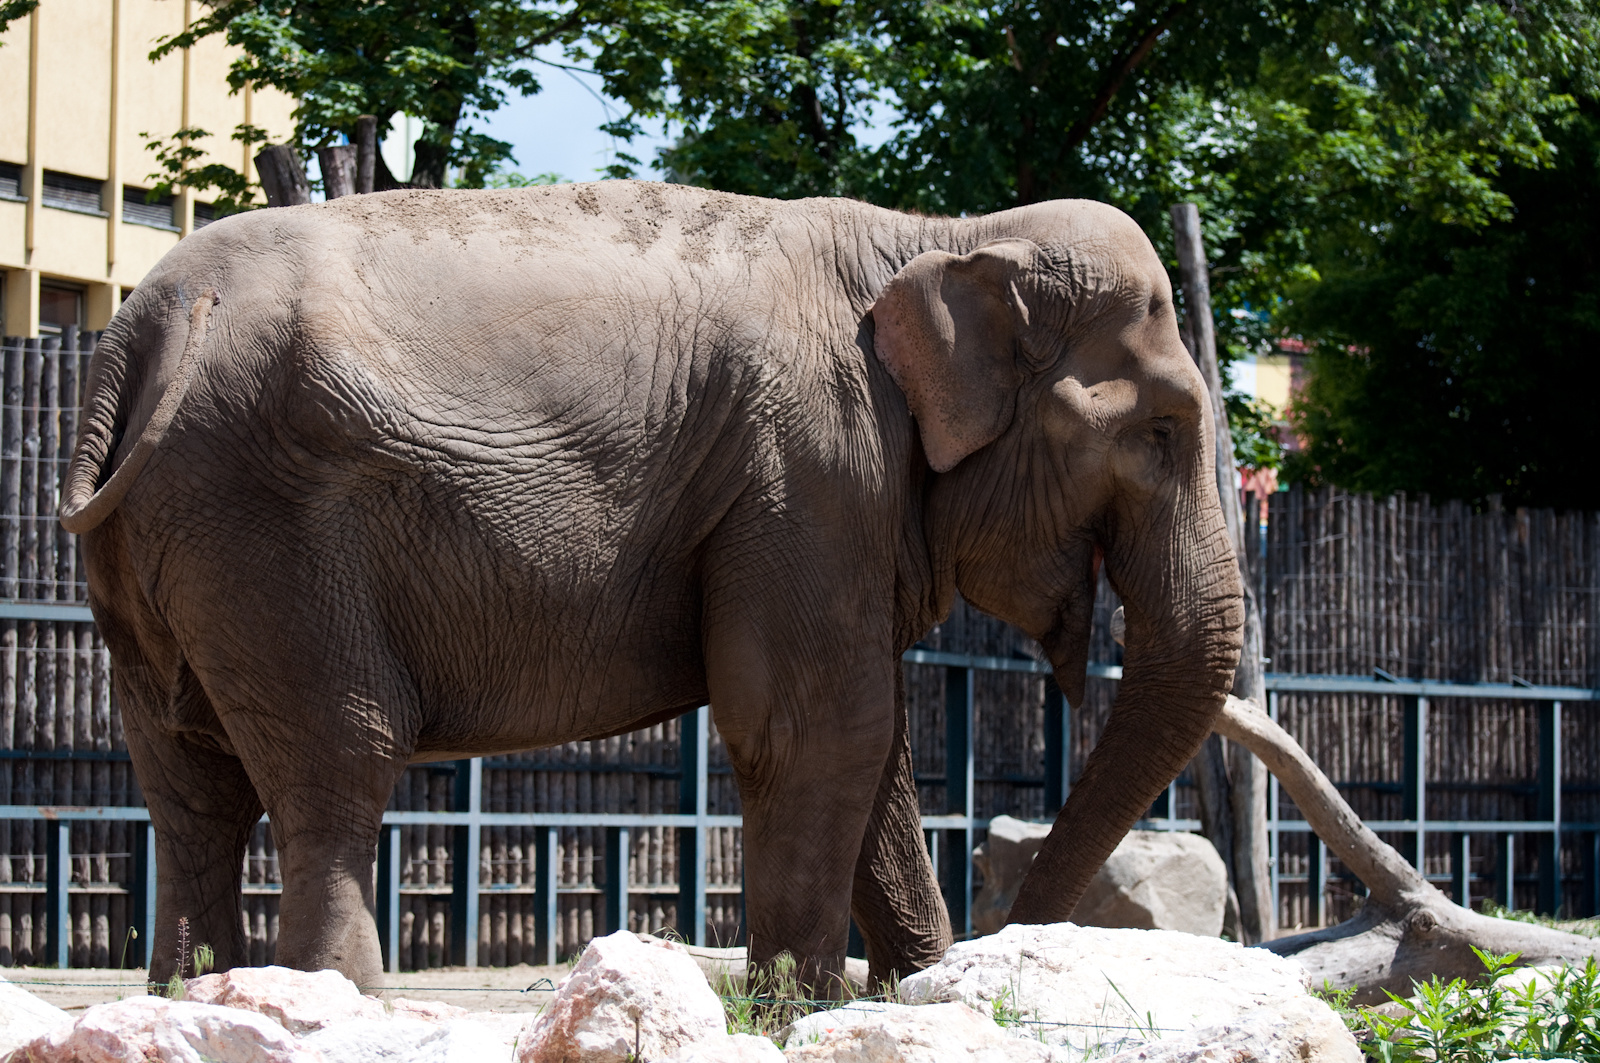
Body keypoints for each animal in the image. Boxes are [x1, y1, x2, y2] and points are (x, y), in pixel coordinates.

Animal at [59, 180, 1235, 986]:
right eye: (1163, 431)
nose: (1004, 937)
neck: (938, 232)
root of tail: (143, 332)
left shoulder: (830, 496)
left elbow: (873, 742)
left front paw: (910, 994)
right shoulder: (809, 467)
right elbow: (816, 727)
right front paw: (800, 1011)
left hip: (157, 551)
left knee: (188, 780)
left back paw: (193, 994)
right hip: (268, 535)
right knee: (336, 761)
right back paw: (332, 999)